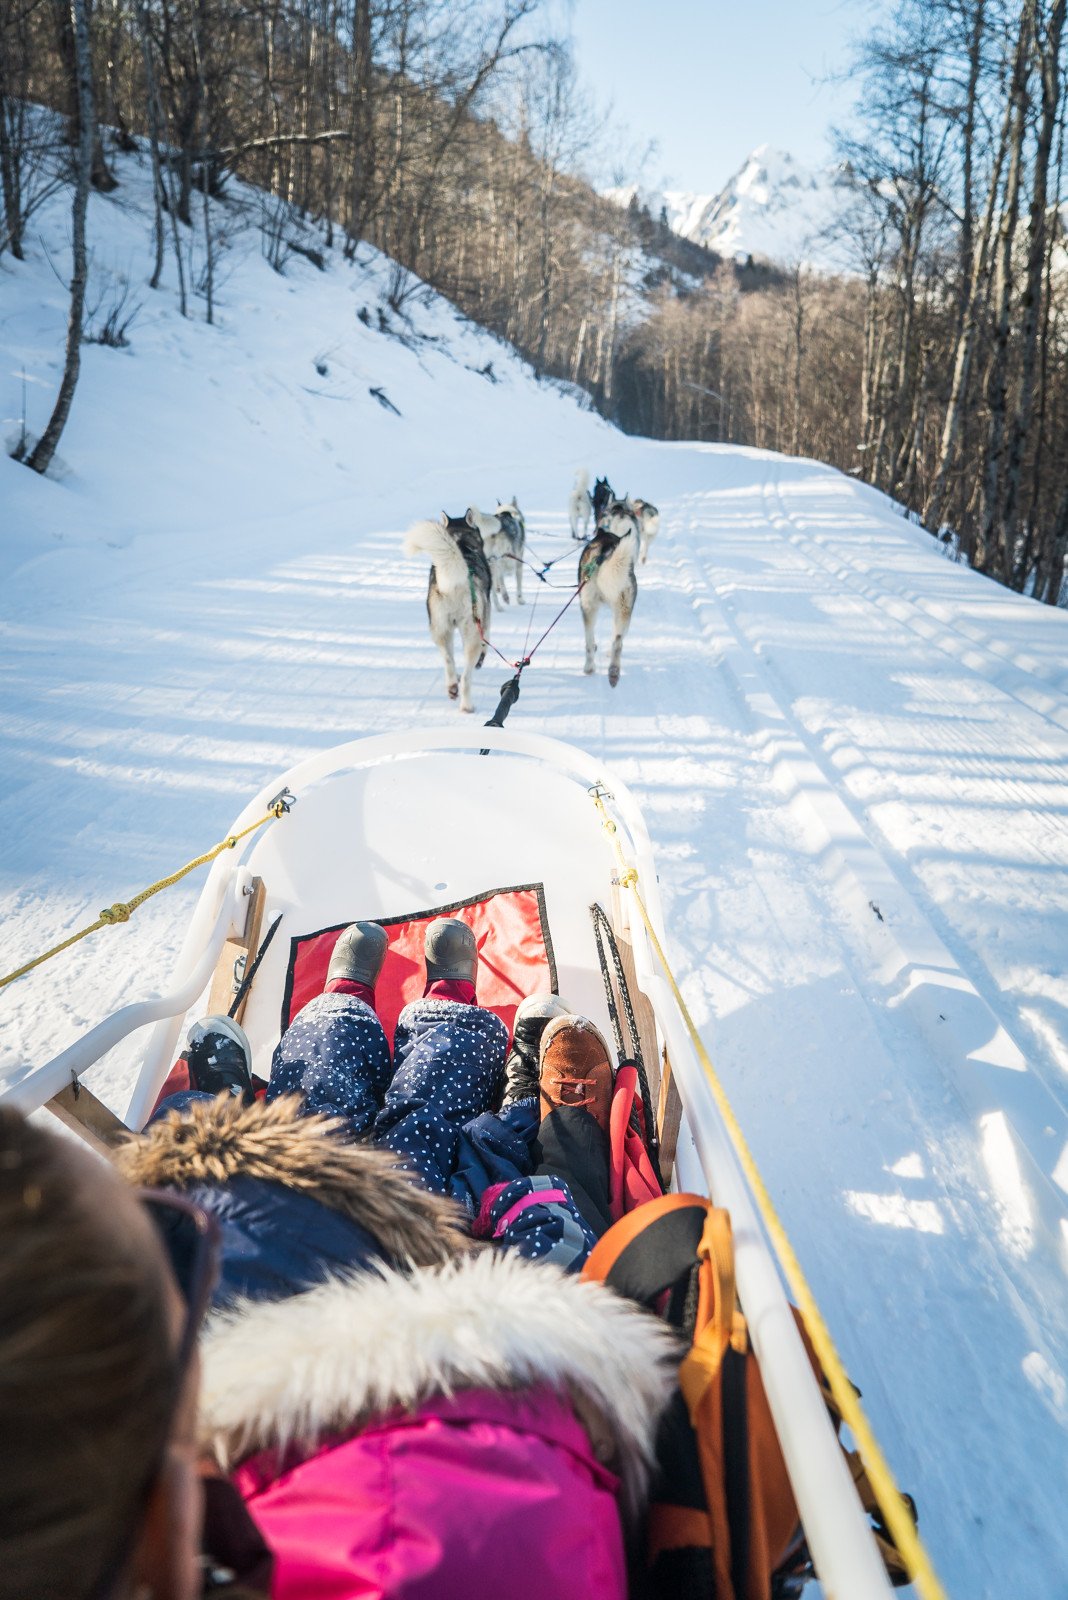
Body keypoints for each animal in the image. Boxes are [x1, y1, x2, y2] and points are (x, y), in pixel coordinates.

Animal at [404, 512, 492, 713]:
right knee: (467, 677)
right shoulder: (486, 619)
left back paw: (453, 687)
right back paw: (467, 705)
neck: (461, 541)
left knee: (448, 660)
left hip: (440, 630)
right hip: (472, 631)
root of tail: (457, 582)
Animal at [578, 499, 639, 688]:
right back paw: (613, 671)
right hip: (624, 609)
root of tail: (605, 552)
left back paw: (589, 668)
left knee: (589, 643)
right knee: (618, 641)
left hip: (588, 608)